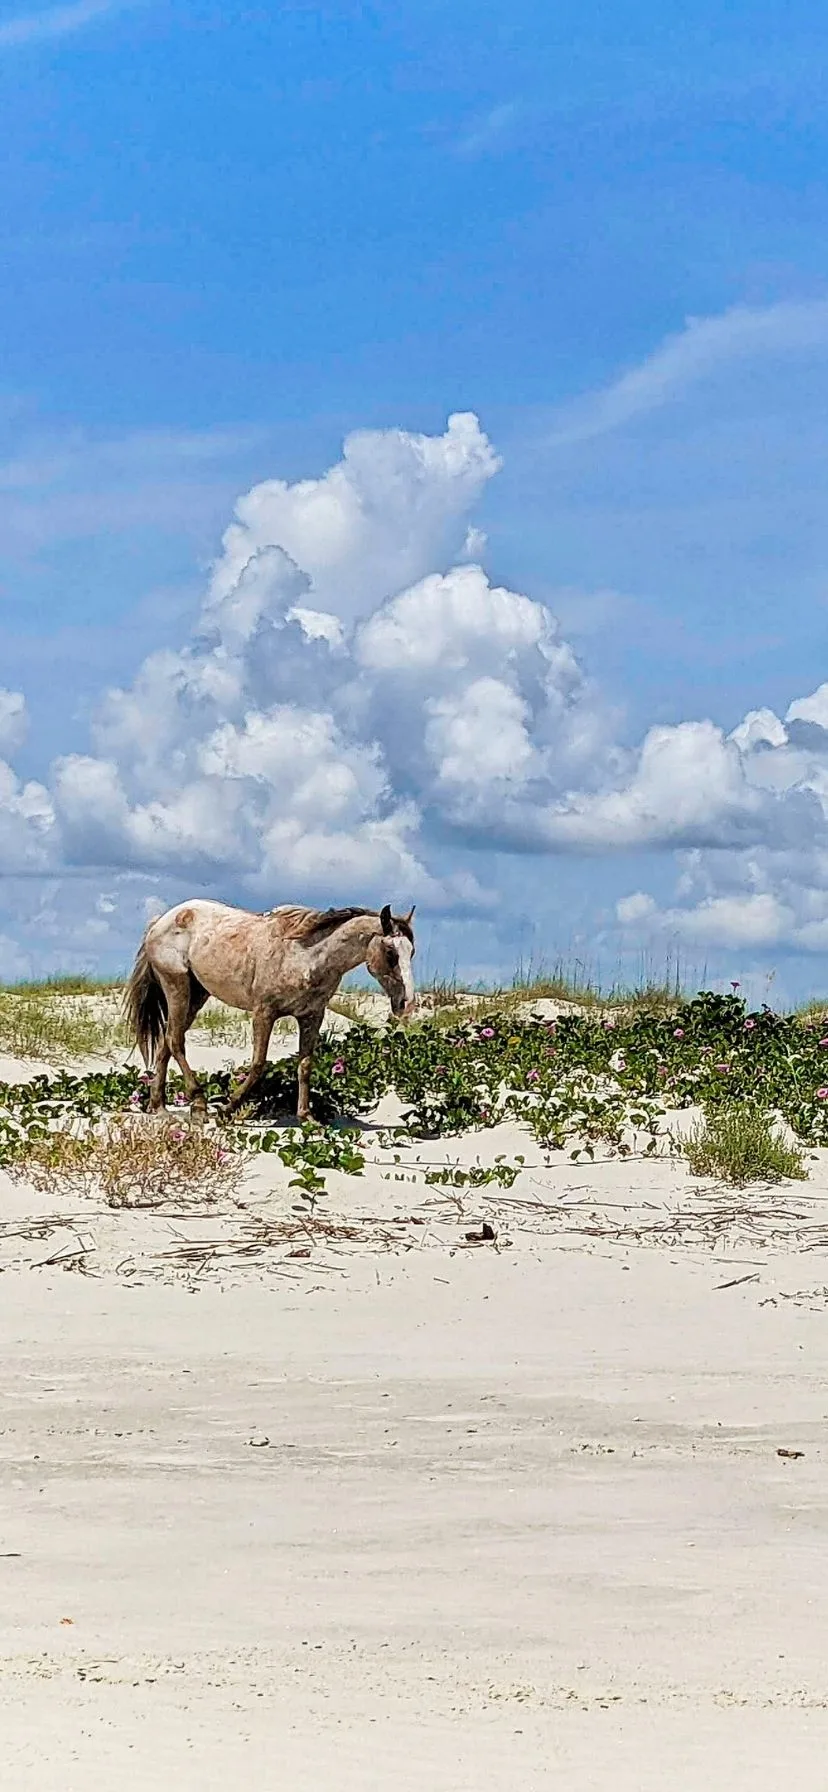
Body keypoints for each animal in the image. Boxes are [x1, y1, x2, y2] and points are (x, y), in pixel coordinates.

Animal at [123, 896, 417, 1118]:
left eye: (411, 952)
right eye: (391, 953)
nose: (407, 1004)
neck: (307, 956)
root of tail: (161, 921)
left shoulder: (312, 1016)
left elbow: (305, 1065)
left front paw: (306, 1117)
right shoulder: (264, 1014)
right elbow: (257, 1065)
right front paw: (228, 1109)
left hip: (196, 995)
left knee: (166, 1043)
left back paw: (159, 1107)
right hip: (177, 987)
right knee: (175, 1042)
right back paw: (199, 1104)